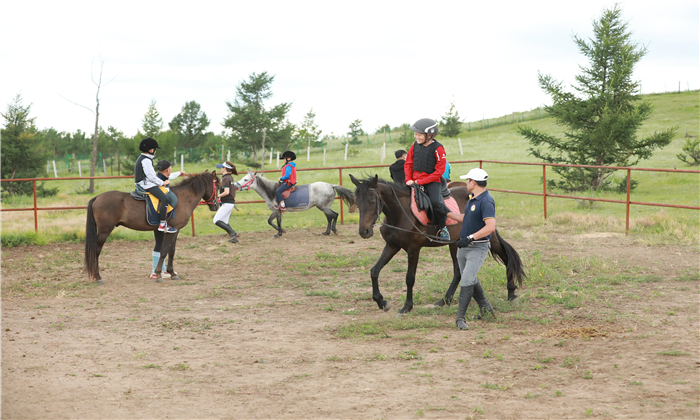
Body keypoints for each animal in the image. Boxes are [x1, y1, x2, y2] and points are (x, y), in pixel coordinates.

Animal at [86, 171, 220, 286]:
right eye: (218, 186)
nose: (216, 205)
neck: (183, 198)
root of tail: (97, 197)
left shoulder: (175, 231)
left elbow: (172, 251)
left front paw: (172, 273)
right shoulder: (170, 231)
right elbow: (164, 251)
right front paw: (159, 274)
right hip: (104, 231)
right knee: (96, 251)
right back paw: (98, 277)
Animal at [350, 174, 524, 316]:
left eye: (372, 201)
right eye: (357, 202)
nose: (364, 231)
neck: (401, 213)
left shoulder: (414, 249)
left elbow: (409, 278)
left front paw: (407, 307)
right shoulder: (392, 246)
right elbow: (374, 271)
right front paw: (381, 302)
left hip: (488, 238)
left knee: (506, 257)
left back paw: (511, 292)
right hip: (456, 245)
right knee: (458, 272)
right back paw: (444, 300)